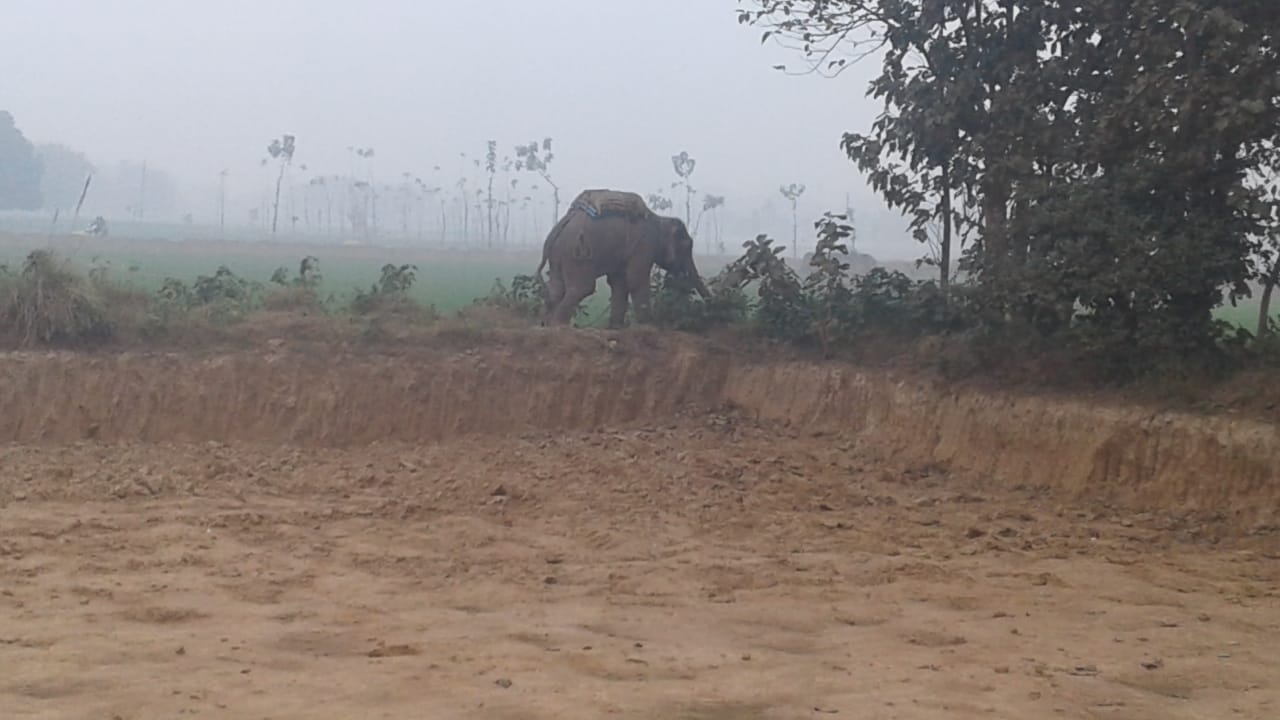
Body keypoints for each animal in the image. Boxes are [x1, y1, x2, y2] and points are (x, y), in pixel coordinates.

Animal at [536, 189, 710, 328]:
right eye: (687, 246)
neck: (660, 219)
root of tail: (565, 221)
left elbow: (619, 283)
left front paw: (616, 327)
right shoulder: (644, 245)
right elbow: (635, 280)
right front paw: (650, 326)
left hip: (558, 255)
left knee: (556, 288)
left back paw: (546, 324)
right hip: (578, 254)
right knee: (582, 287)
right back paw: (559, 326)